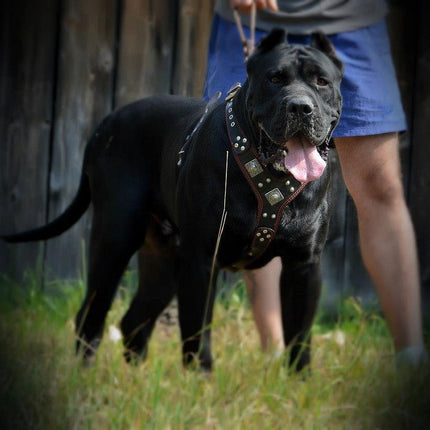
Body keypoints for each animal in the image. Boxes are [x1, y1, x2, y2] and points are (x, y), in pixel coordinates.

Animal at [0, 30, 342, 372]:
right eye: (274, 78)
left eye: (321, 82)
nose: (300, 107)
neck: (270, 179)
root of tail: (106, 122)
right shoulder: (201, 260)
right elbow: (197, 332)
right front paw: (200, 380)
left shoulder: (303, 267)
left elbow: (300, 336)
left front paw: (299, 380)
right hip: (115, 241)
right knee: (92, 313)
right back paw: (85, 373)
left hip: (163, 262)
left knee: (133, 320)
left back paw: (136, 377)